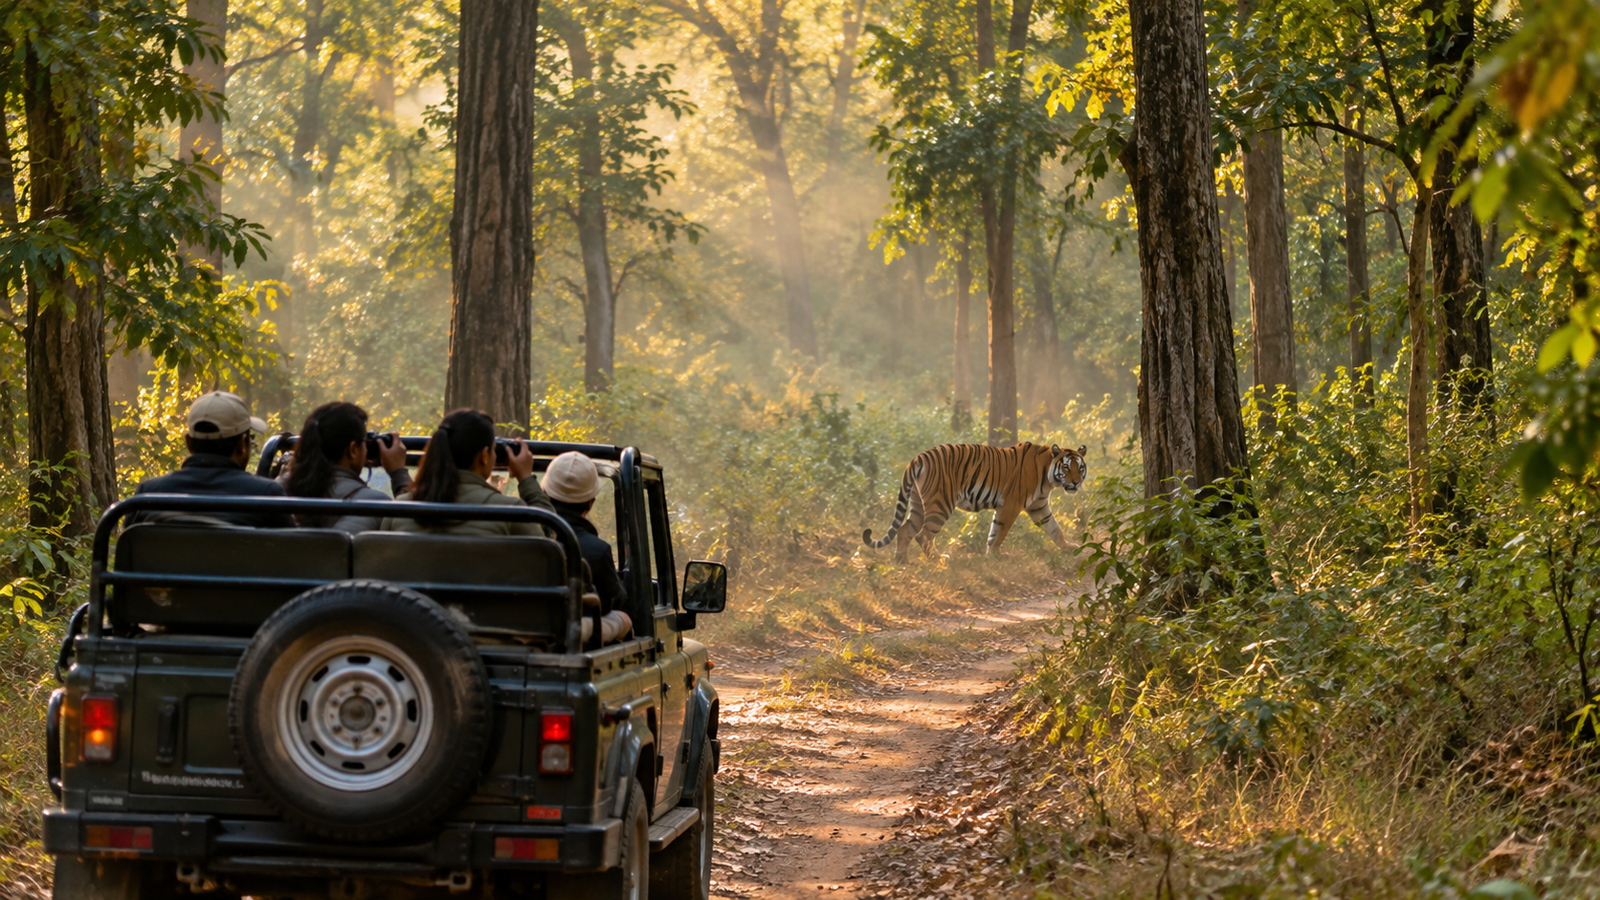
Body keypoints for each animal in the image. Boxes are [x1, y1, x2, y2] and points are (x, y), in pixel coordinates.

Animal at [862, 442, 1088, 562]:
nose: (1076, 483)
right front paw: (994, 556)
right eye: (1066, 467)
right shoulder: (1011, 505)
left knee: (904, 530)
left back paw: (902, 561)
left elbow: (1055, 529)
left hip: (918, 505)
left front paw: (1068, 547)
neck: (1048, 477)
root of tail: (917, 458)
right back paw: (938, 560)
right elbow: (999, 532)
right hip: (940, 504)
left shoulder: (1039, 507)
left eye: (1080, 467)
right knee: (923, 535)